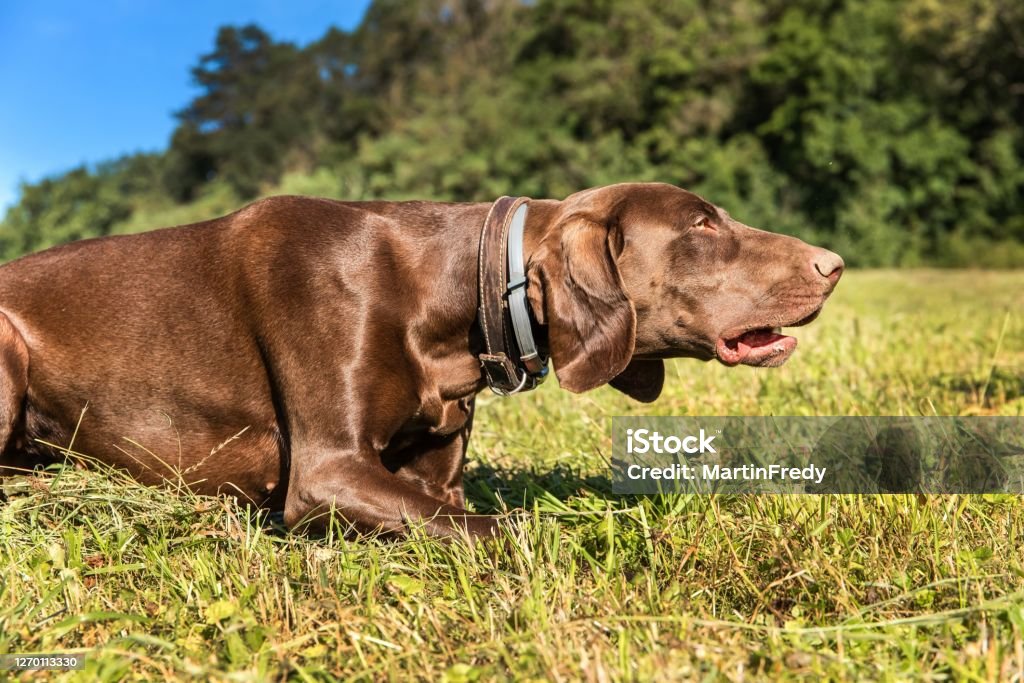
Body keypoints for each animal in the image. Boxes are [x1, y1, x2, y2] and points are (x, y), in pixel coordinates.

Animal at [0, 184, 839, 536]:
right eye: (700, 224)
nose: (832, 264)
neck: (451, 293)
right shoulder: (329, 470)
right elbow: (510, 529)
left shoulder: (435, 474)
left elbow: (457, 508)